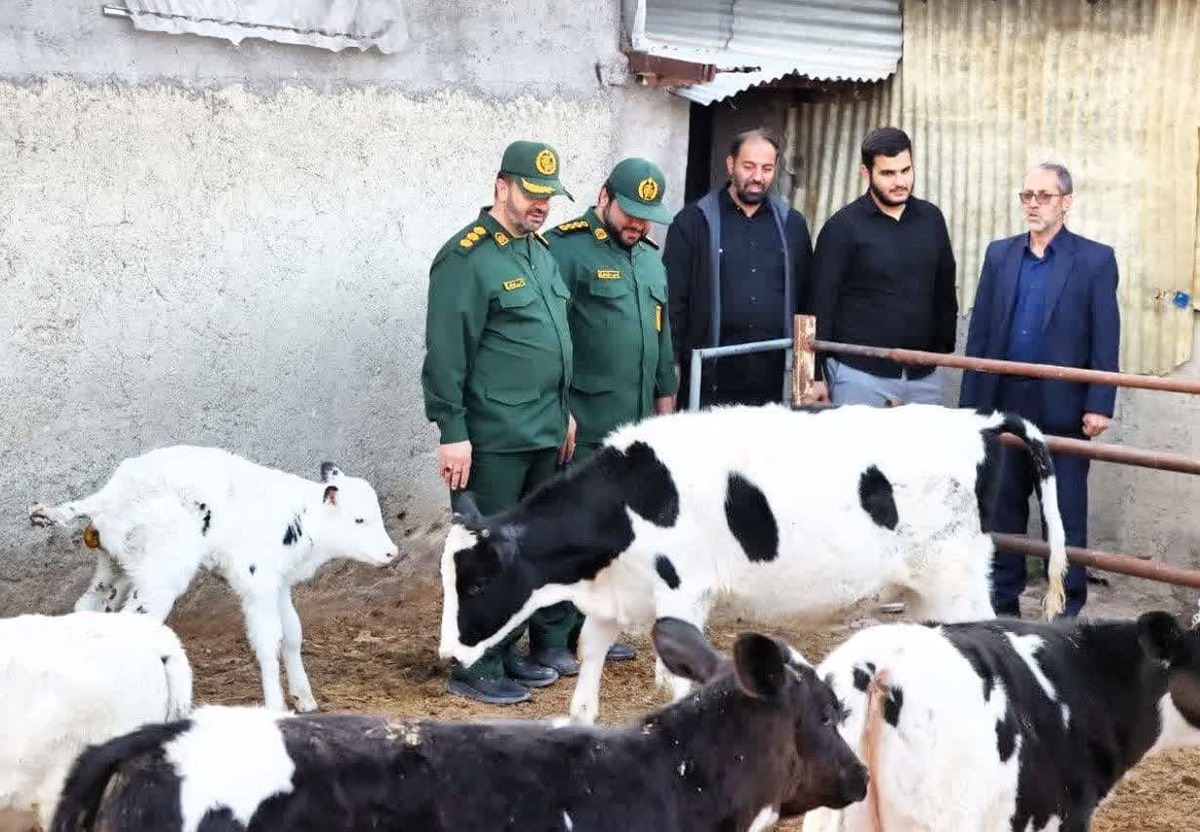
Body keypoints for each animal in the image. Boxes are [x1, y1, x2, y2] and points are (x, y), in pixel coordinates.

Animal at [28, 444, 400, 710]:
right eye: (359, 520)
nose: (392, 553)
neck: (299, 519)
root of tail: (108, 496)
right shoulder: (257, 582)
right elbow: (268, 641)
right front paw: (277, 707)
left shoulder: (276, 582)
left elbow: (293, 633)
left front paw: (305, 698)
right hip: (161, 575)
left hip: (116, 567)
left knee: (88, 607)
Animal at [436, 403, 1065, 720]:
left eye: (477, 582)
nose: (446, 654)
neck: (634, 498)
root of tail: (980, 420)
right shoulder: (614, 594)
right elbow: (588, 668)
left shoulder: (683, 593)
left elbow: (679, 679)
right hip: (927, 591)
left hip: (958, 579)